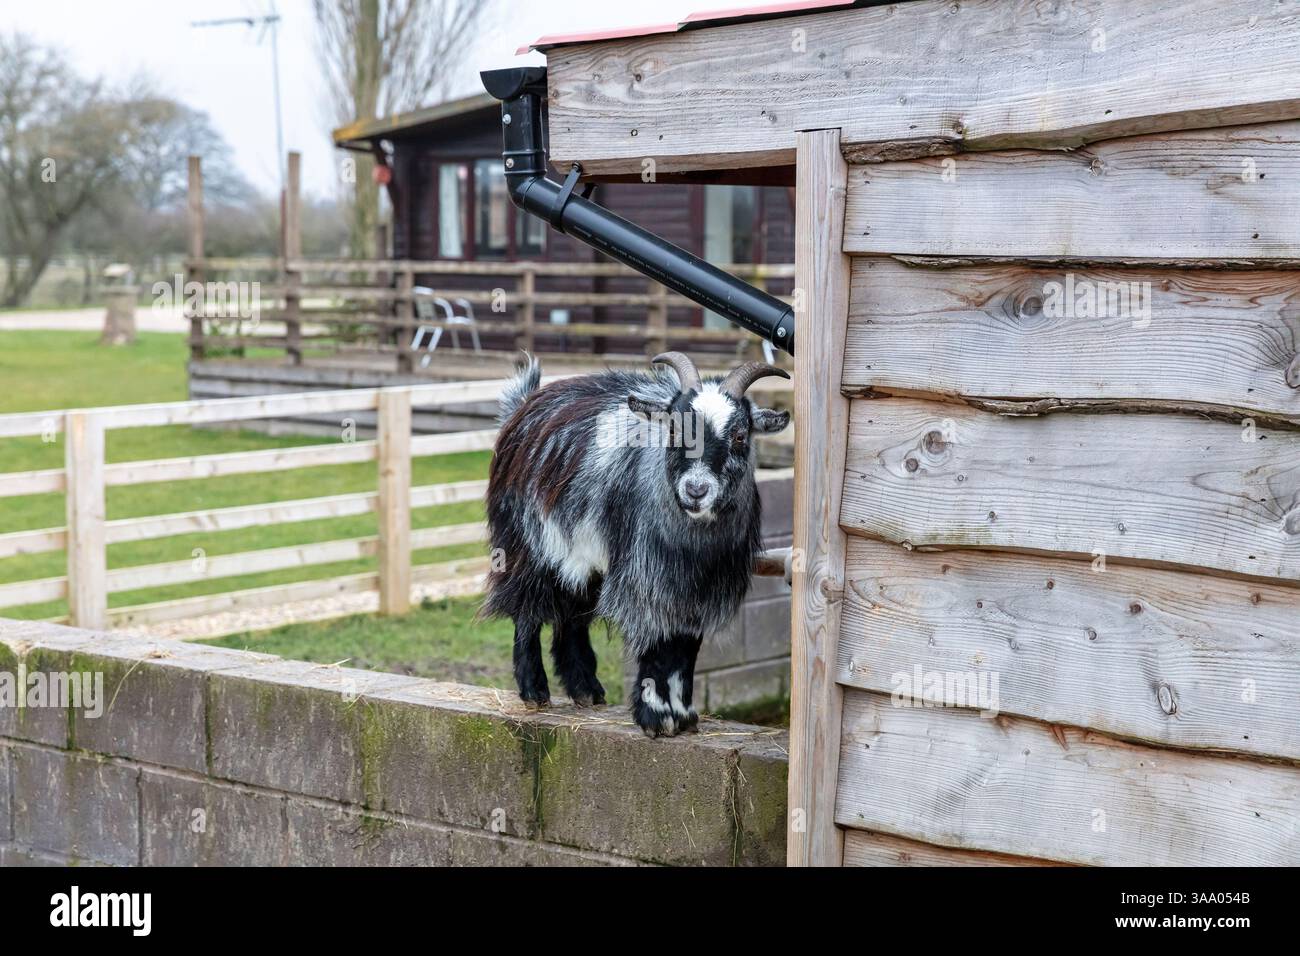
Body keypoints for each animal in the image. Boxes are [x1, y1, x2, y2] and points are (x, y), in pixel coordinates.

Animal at [481, 351, 790, 737]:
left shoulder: (697, 591)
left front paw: (683, 714)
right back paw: (534, 690)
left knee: (572, 614)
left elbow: (685, 649)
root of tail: (523, 405)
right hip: (524, 544)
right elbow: (657, 644)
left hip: (582, 556)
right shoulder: (646, 577)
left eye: (738, 435)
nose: (696, 490)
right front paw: (655, 716)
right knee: (527, 608)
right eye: (673, 429)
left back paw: (586, 691)